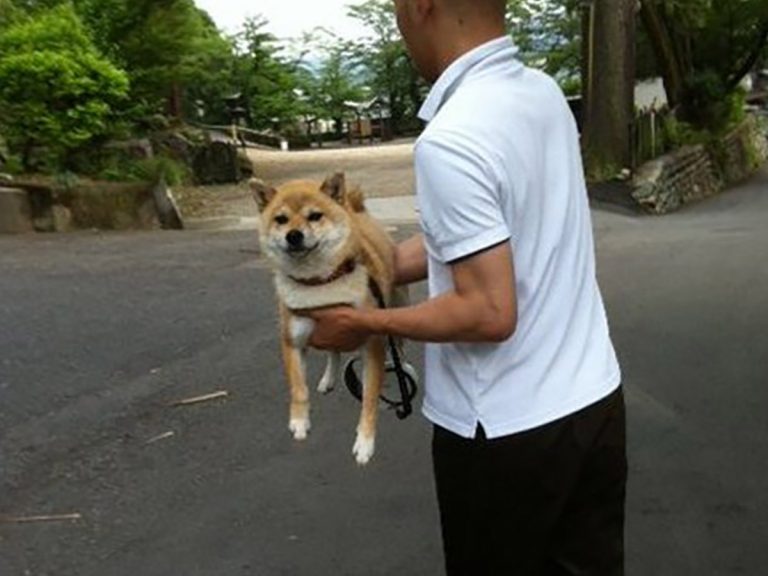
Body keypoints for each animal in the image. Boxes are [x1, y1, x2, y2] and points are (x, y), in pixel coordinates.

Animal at [252, 173, 396, 466]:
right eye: (281, 219)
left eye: (315, 216)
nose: (293, 235)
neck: (320, 284)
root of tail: (357, 211)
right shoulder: (292, 341)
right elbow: (298, 388)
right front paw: (299, 421)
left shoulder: (371, 343)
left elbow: (369, 397)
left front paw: (365, 441)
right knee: (333, 352)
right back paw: (328, 379)